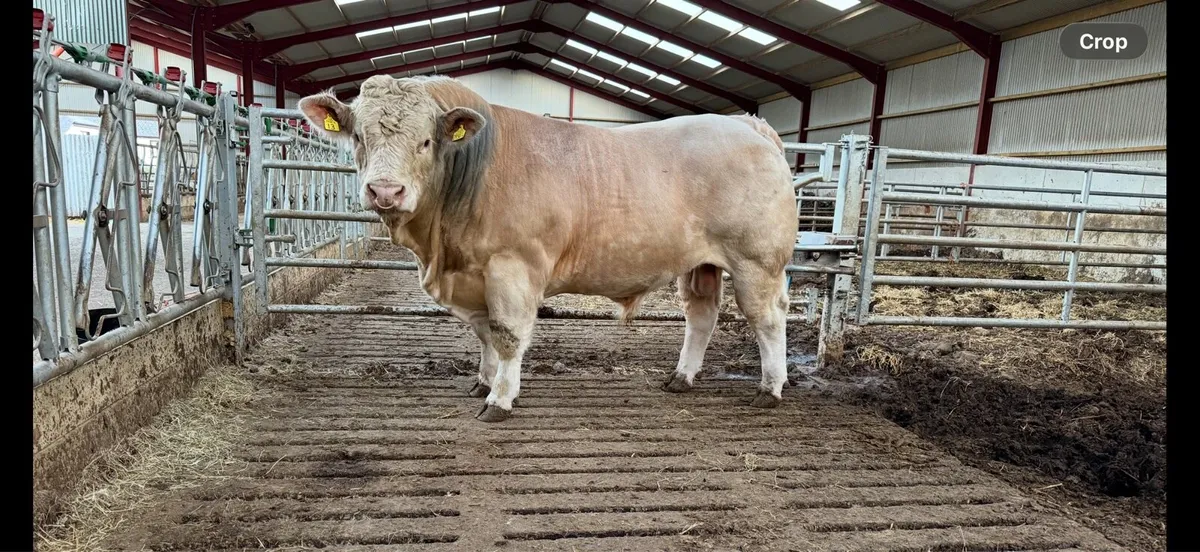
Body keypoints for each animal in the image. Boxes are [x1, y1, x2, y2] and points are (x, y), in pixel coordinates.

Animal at [298, 75, 796, 422]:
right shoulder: (474, 275)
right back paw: (681, 378)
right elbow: (484, 334)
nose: (385, 191)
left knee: (767, 319)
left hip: (756, 261)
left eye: (425, 141)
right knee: (702, 315)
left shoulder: (511, 267)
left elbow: (507, 334)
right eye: (358, 138)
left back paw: (769, 390)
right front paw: (482, 382)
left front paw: (500, 399)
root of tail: (746, 124)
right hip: (701, 263)